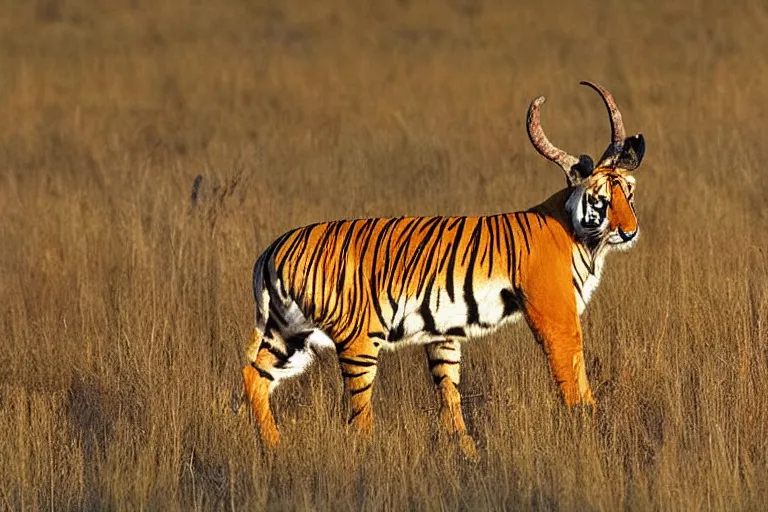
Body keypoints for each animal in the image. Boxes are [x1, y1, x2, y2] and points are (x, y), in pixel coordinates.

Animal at [240, 81, 640, 460]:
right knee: (358, 415)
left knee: (253, 374)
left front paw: (466, 452)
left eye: (629, 193)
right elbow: (573, 378)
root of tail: (272, 249)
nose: (630, 231)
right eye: (603, 199)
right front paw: (589, 431)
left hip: (288, 334)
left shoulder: (444, 334)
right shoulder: (556, 317)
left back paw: (274, 448)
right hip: (357, 340)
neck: (581, 235)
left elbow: (450, 395)